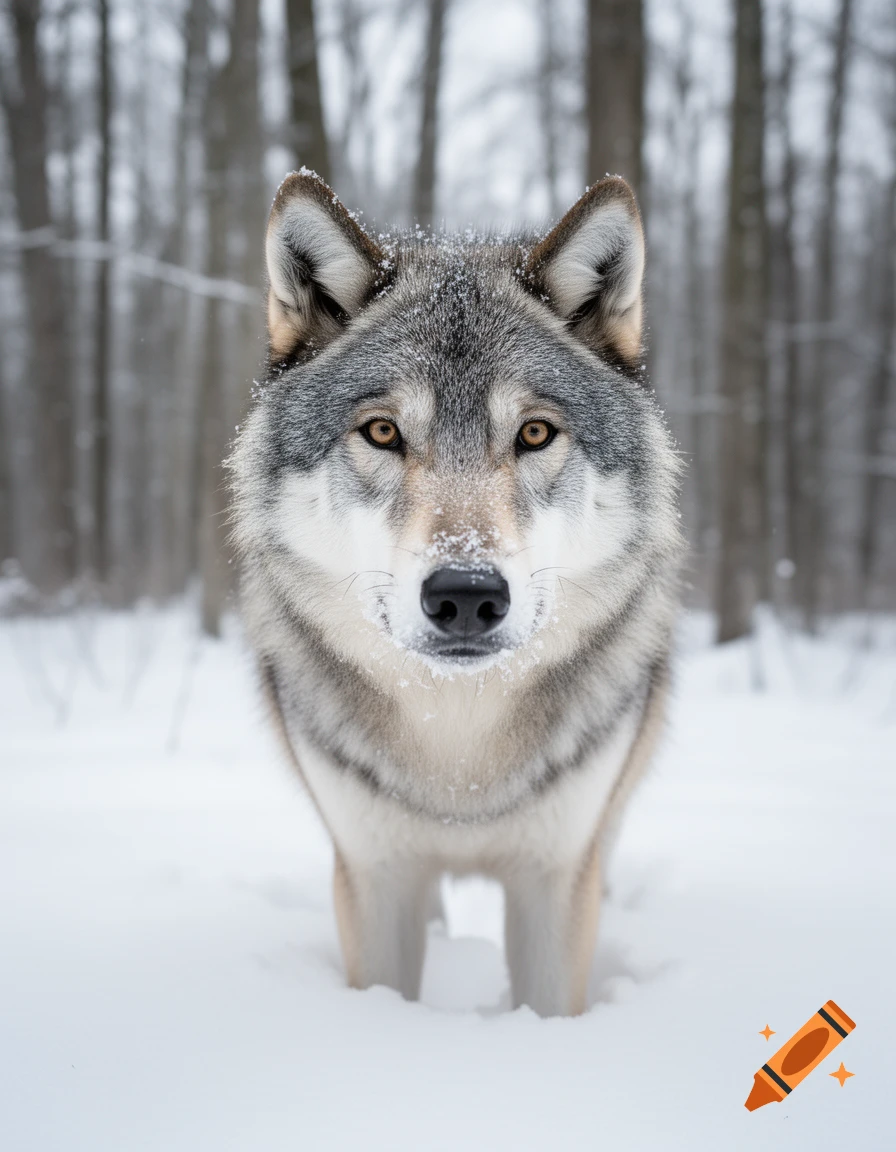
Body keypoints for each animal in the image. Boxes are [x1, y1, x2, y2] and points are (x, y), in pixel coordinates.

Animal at [229, 171, 682, 1017]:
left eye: (535, 434)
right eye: (382, 432)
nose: (466, 595)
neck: (460, 755)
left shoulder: (556, 882)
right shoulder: (374, 876)